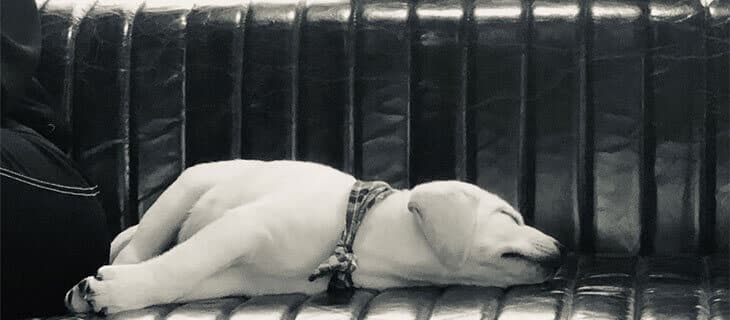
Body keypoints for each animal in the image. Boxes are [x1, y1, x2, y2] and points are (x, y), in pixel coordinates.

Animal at [65, 159, 564, 314]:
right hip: (185, 188)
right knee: (138, 245)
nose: (562, 251)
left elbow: (186, 275)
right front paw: (117, 290)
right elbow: (181, 263)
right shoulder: (243, 228)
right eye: (509, 216)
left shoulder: (238, 276)